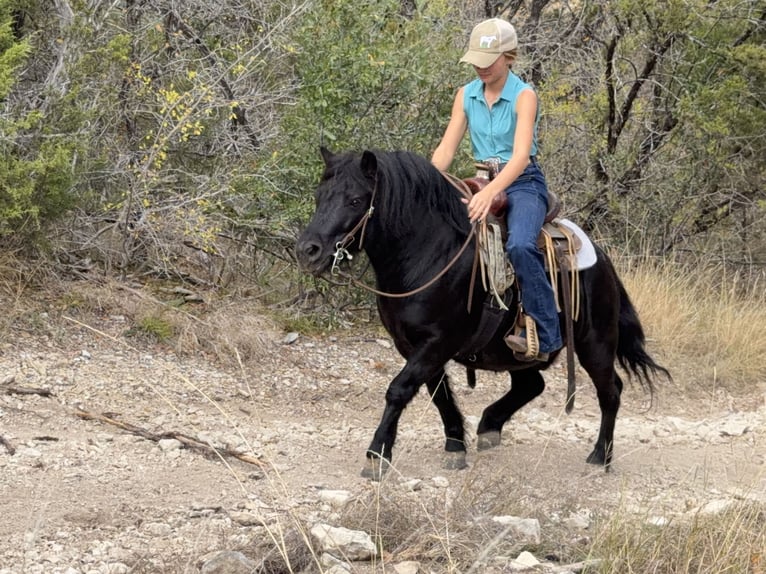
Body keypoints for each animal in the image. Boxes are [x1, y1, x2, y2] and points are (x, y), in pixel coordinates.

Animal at [296, 147, 670, 479]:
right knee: (532, 385)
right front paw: (454, 447)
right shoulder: (414, 345)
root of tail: (603, 259)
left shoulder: (438, 342)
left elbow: (399, 390)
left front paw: (377, 455)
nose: (308, 251)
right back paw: (490, 426)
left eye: (355, 200)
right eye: (319, 196)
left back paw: (598, 458)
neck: (428, 253)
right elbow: (438, 394)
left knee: (610, 391)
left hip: (596, 343)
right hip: (515, 352)